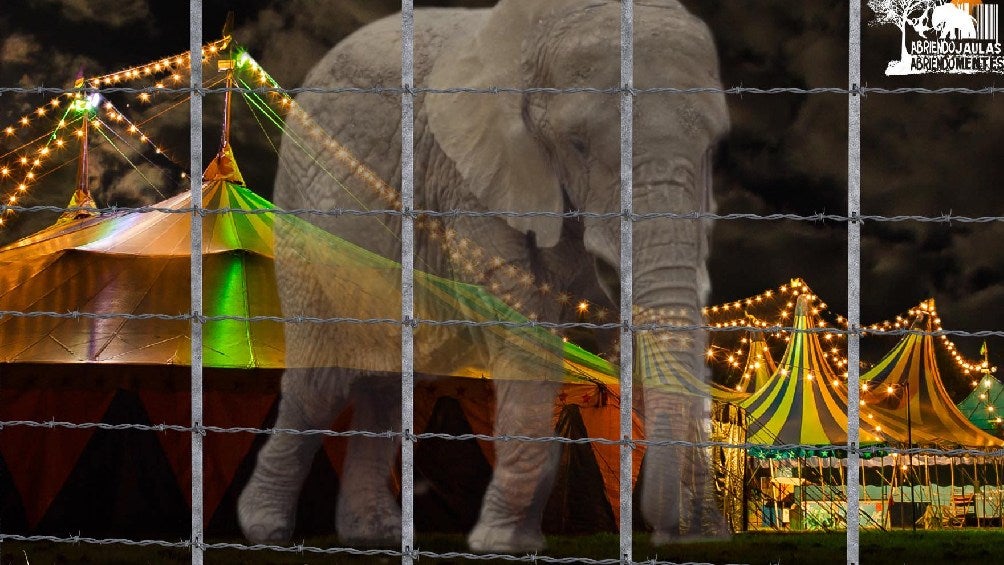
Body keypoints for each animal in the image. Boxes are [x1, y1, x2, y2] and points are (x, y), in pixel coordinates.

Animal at [236, 0, 730, 553]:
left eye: (713, 147)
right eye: (577, 144)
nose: (673, 533)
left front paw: (703, 533)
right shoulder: (469, 177)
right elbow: (515, 308)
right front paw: (504, 541)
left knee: (382, 385)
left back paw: (373, 533)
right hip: (302, 222)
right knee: (321, 382)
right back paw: (265, 529)